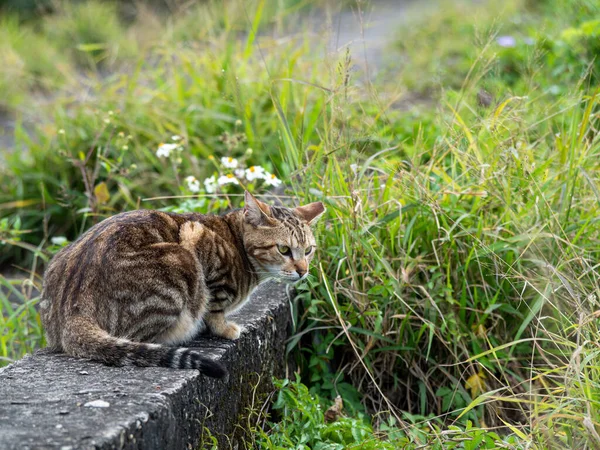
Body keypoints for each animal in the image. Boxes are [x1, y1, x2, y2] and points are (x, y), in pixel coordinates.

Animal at [41, 192, 324, 378]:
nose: (303, 271)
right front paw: (224, 328)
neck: (237, 243)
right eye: (284, 249)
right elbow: (215, 305)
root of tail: (72, 311)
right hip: (180, 261)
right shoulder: (197, 238)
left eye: (309, 250)